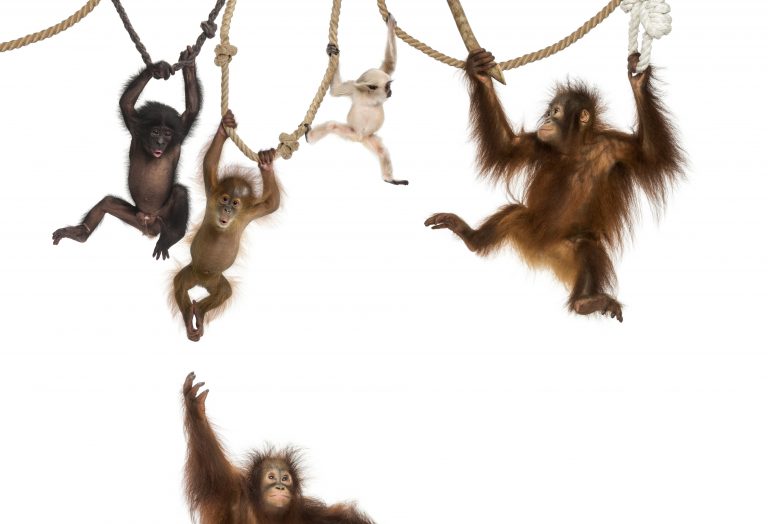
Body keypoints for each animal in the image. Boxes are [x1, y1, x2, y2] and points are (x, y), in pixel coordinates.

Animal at [52, 46, 201, 260]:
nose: (161, 142)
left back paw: (170, 237)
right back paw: (80, 233)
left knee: (180, 192)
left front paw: (189, 65)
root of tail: (149, 224)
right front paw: (156, 68)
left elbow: (192, 108)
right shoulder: (135, 125)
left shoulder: (180, 131)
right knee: (108, 203)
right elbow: (126, 102)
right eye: (155, 132)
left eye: (167, 133)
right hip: (135, 216)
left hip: (163, 219)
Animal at [173, 110, 280, 342]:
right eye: (224, 199)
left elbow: (272, 203)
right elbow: (209, 163)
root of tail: (203, 282)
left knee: (224, 293)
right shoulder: (212, 191)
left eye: (236, 203)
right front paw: (224, 128)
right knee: (179, 284)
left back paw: (199, 313)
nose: (227, 210)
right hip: (191, 273)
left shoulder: (252, 212)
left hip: (217, 282)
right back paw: (190, 320)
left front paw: (267, 163)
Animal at [183, 372, 377, 524]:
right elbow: (210, 469)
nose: (280, 487)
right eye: (271, 477)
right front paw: (195, 408)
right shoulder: (227, 491)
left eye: (285, 478)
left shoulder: (310, 513)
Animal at [307, 15, 407, 185]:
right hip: (352, 132)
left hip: (368, 137)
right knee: (332, 126)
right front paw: (331, 52)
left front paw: (391, 25)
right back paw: (309, 136)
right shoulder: (354, 89)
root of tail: (360, 138)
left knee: (381, 151)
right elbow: (336, 90)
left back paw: (390, 179)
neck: (369, 96)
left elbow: (390, 62)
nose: (391, 92)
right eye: (387, 87)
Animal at [425, 50, 685, 322]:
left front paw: (639, 80)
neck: (575, 147)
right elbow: (507, 145)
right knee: (514, 212)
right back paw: (472, 237)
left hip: (566, 249)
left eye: (557, 111)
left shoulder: (616, 149)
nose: (548, 118)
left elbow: (651, 154)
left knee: (586, 246)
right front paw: (479, 72)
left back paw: (585, 301)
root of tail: (541, 252)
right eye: (549, 111)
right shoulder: (538, 143)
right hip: (529, 227)